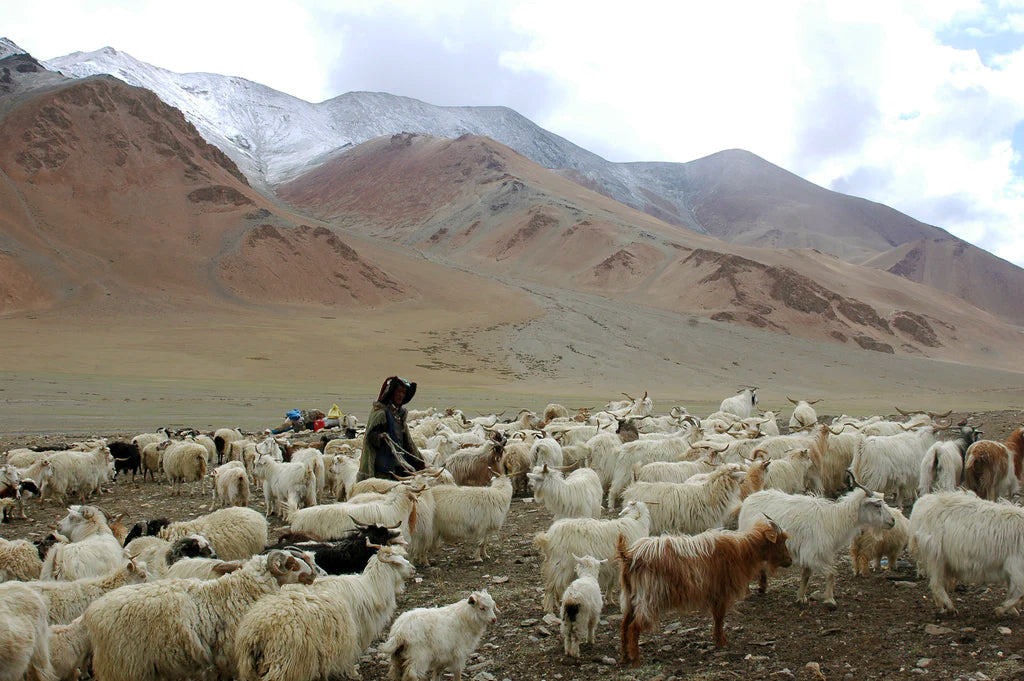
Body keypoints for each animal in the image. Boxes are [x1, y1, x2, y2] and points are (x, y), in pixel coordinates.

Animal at [86, 548, 317, 679]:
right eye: (291, 564)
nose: (312, 575)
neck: (239, 592)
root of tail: (94, 614)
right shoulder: (230, 657)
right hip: (123, 666)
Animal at [614, 516, 790, 659]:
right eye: (781, 542)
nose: (790, 561)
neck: (743, 550)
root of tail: (629, 555)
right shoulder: (721, 592)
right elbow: (719, 617)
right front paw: (721, 642)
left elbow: (717, 617)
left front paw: (718, 640)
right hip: (649, 597)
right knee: (634, 627)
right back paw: (635, 659)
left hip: (629, 597)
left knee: (624, 625)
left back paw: (624, 656)